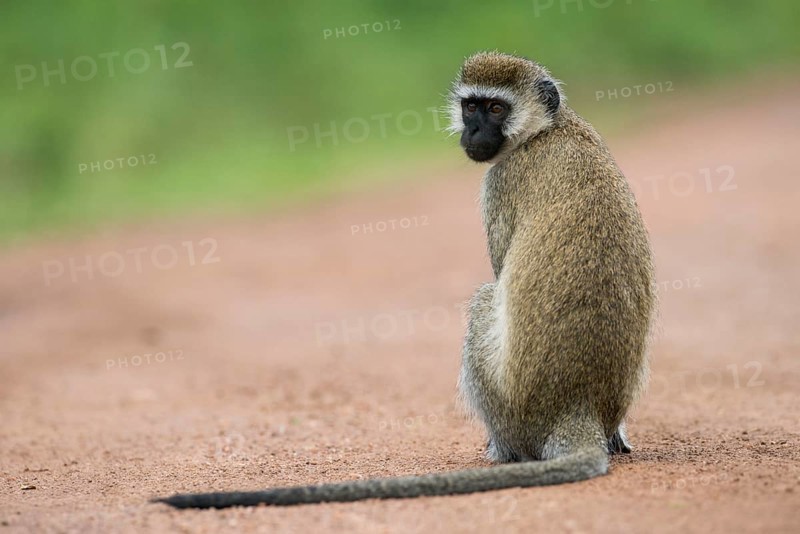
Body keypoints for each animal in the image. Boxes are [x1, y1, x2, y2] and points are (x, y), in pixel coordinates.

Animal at [154, 51, 655, 509]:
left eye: (496, 109)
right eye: (471, 107)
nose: (473, 132)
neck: (548, 129)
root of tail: (580, 404)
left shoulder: (500, 181)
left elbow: (499, 270)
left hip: (515, 407)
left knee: (484, 299)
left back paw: (504, 449)